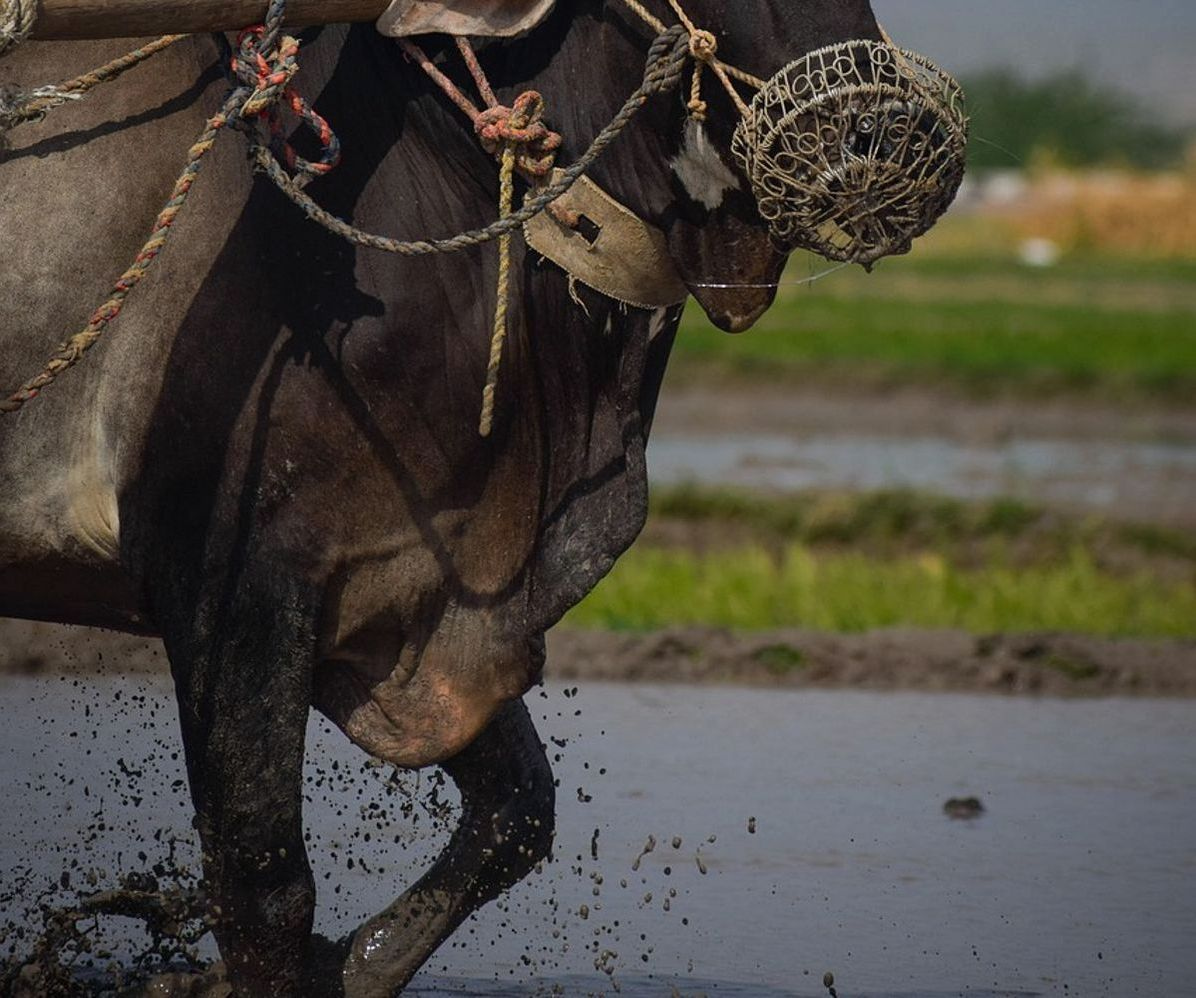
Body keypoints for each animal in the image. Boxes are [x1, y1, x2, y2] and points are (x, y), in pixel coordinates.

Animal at [0, 1, 962, 994]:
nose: (889, 133)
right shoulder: (228, 588)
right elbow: (262, 893)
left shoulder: (415, 602)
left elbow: (518, 814)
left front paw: (342, 967)